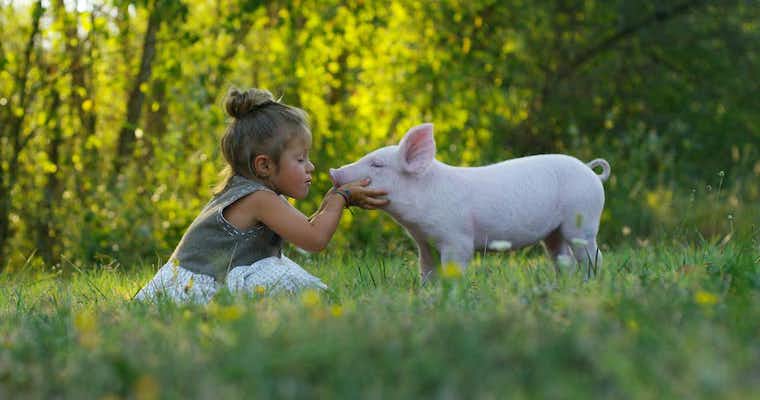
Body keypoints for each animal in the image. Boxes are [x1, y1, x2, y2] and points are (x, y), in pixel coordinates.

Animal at [329, 123, 611, 280]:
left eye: (377, 164)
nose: (334, 171)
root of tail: (590, 171)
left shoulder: (457, 239)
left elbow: (455, 267)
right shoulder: (424, 243)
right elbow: (427, 270)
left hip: (583, 219)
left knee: (592, 257)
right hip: (554, 232)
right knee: (562, 259)